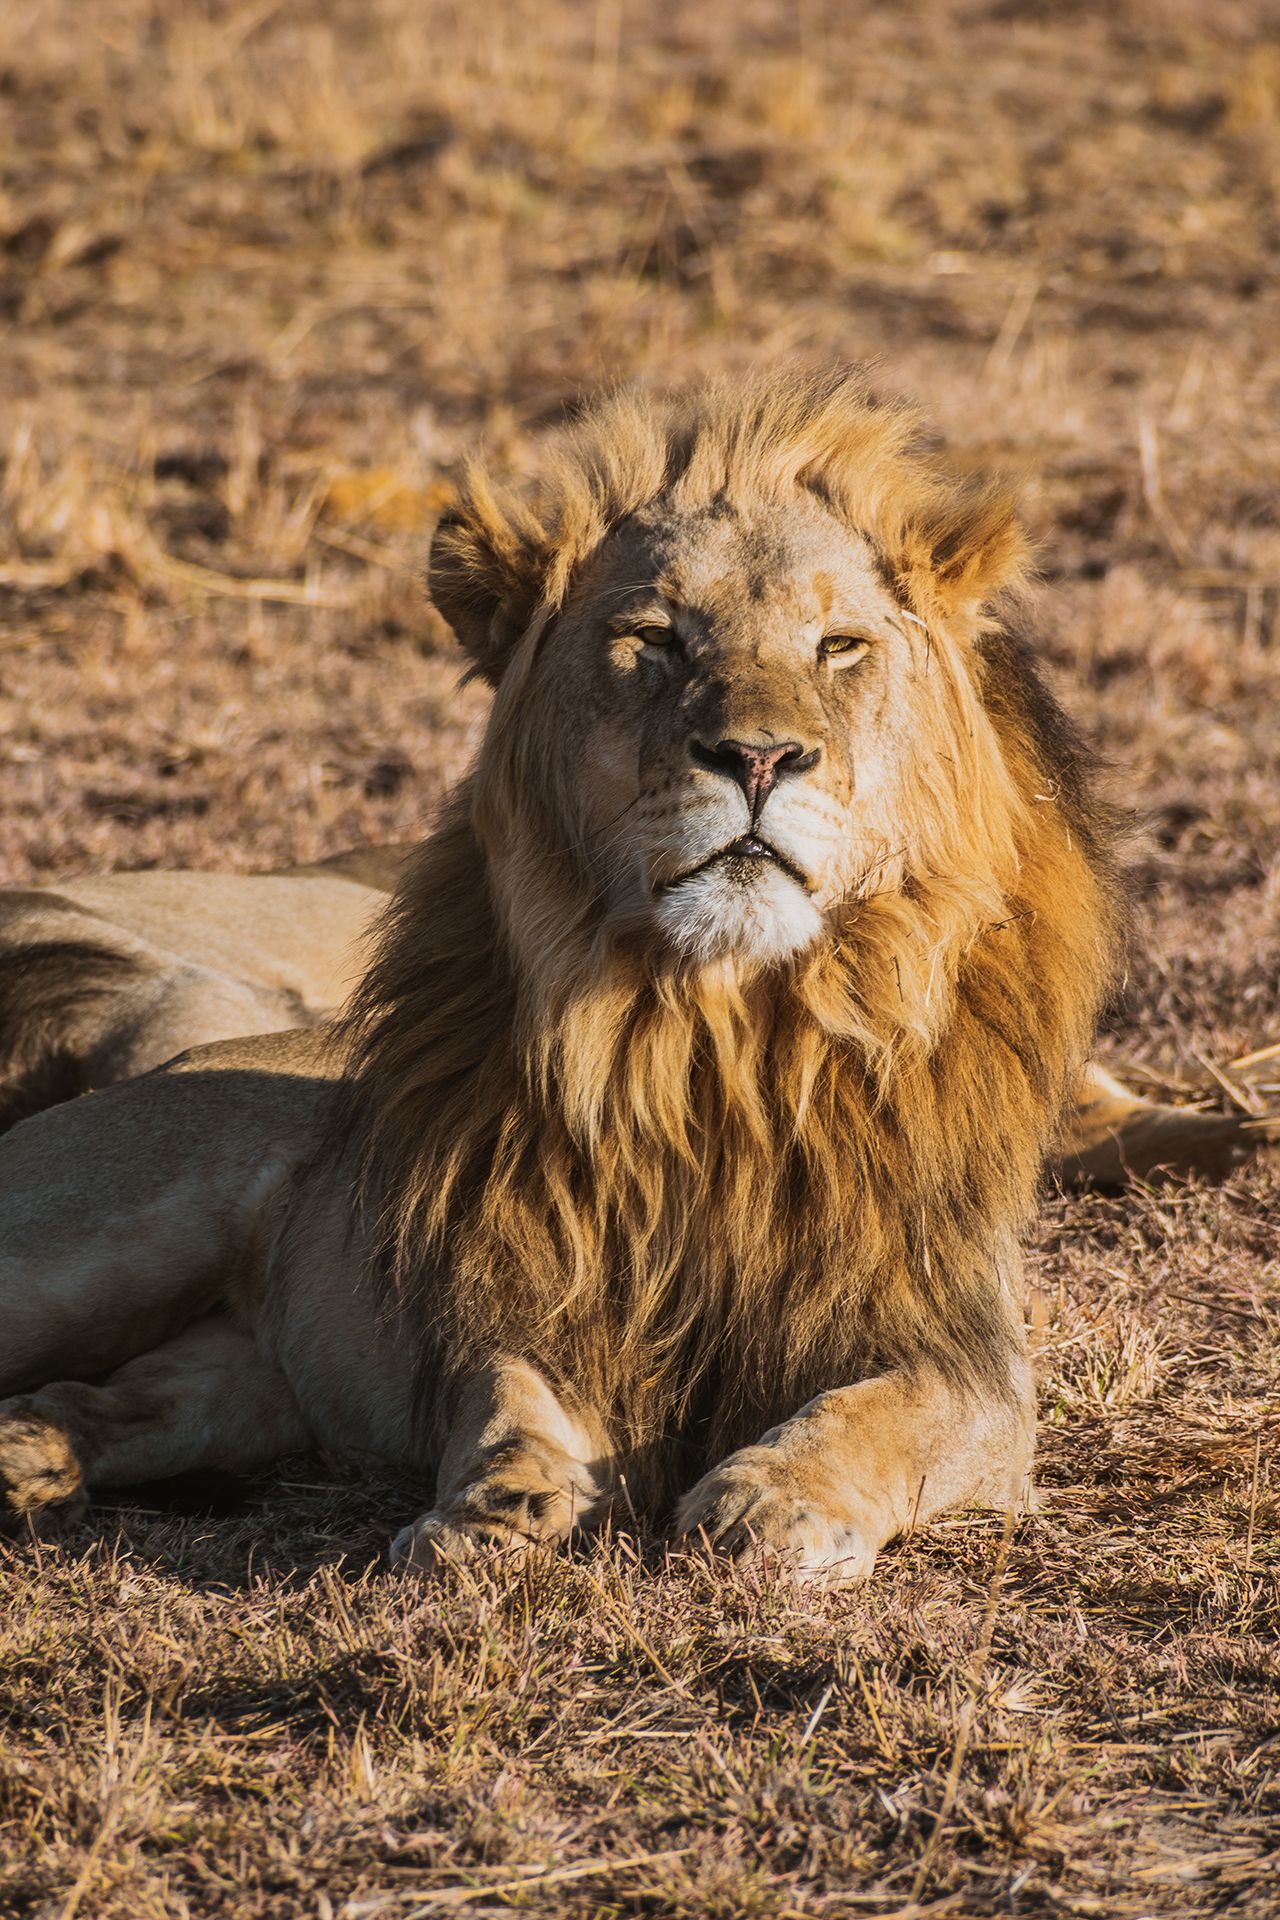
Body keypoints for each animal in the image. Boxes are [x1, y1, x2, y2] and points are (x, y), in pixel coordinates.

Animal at [0, 364, 1203, 1578]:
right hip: (91, 1248)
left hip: (245, 1385)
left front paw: (769, 1502)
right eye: (655, 639)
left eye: (838, 646)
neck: (723, 1044)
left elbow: (875, 1416)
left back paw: (28, 1464)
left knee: (108, 1400)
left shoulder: (961, 1355)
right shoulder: (533, 1290)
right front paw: (495, 1512)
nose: (757, 757)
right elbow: (511, 1401)